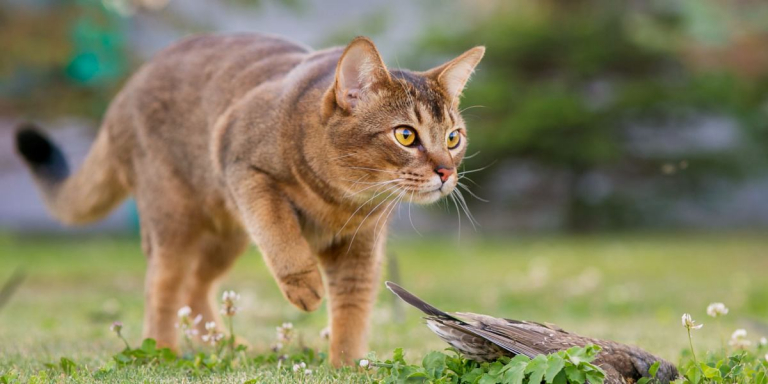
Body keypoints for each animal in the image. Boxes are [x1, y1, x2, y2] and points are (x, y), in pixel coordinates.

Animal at [15, 33, 484, 366]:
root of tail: (125, 92)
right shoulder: (241, 164)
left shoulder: (361, 249)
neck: (340, 201)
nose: (446, 172)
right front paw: (303, 285)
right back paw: (163, 350)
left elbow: (353, 309)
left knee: (196, 287)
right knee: (163, 286)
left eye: (453, 138)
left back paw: (224, 344)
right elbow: (280, 231)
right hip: (175, 218)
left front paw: (348, 366)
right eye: (405, 135)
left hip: (228, 235)